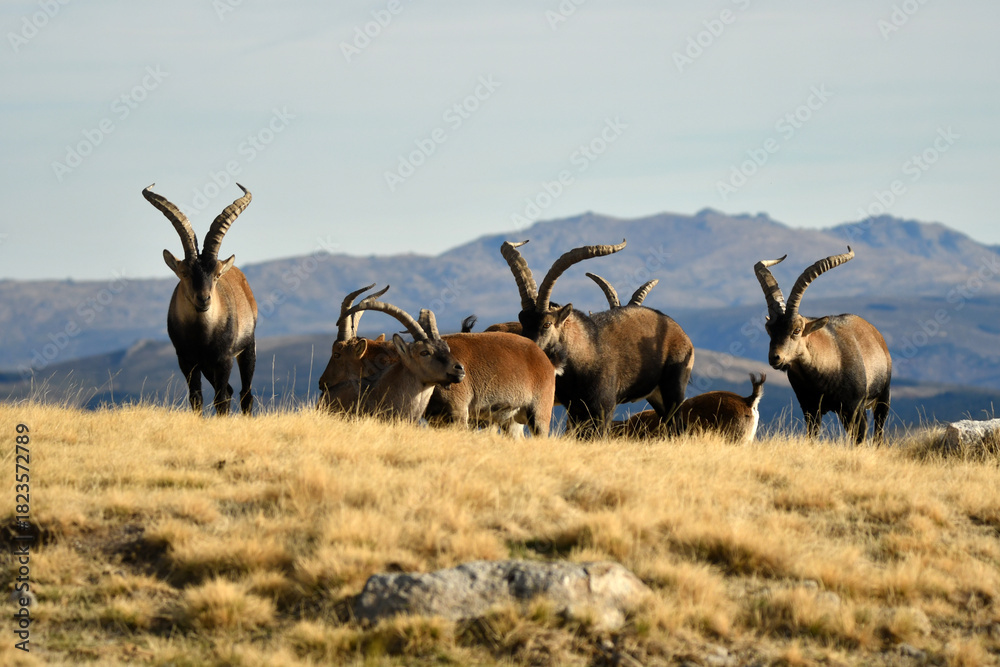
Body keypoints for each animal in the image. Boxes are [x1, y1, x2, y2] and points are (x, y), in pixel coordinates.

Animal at [143, 183, 257, 415]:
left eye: (216, 274)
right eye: (184, 273)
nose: (204, 299)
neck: (202, 334)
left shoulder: (224, 360)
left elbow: (220, 399)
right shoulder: (187, 361)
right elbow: (196, 398)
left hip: (248, 348)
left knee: (245, 394)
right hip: (206, 367)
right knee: (231, 391)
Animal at [501, 239, 694, 436]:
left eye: (547, 323)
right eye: (522, 319)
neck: (586, 350)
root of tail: (680, 332)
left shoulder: (604, 407)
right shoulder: (575, 408)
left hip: (674, 387)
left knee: (678, 425)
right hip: (656, 395)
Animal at [754, 247, 891, 443]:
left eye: (797, 330)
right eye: (769, 328)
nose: (775, 357)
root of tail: (875, 333)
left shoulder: (854, 407)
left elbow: (860, 438)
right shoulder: (811, 409)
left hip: (882, 399)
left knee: (878, 432)